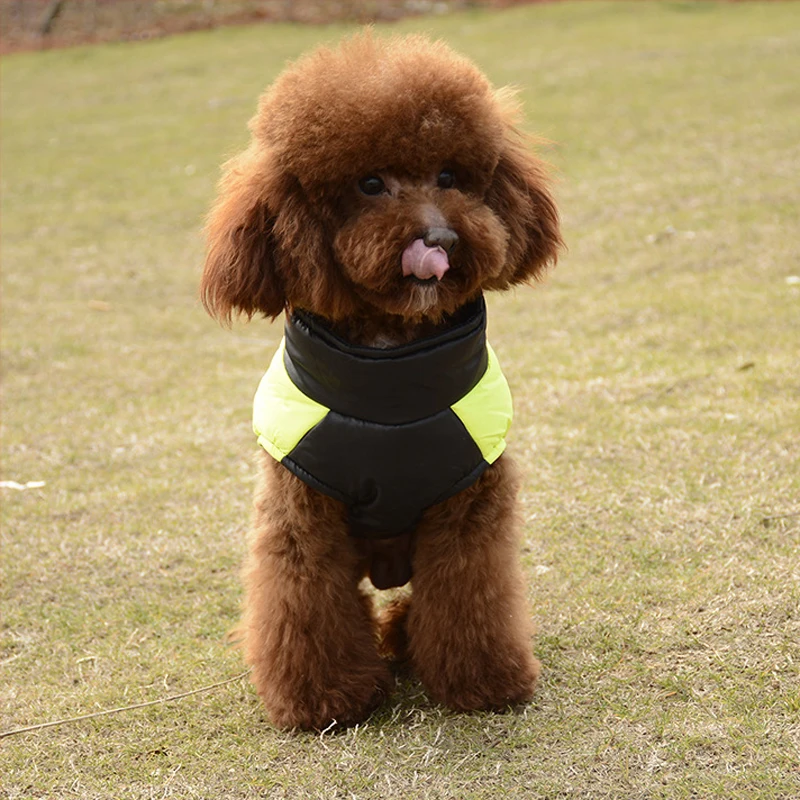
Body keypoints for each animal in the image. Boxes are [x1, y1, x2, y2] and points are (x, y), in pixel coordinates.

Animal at [201, 32, 562, 731]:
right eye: (370, 184)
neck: (391, 384)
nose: (441, 237)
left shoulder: (470, 509)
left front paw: (482, 682)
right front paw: (326, 699)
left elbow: (470, 595)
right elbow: (305, 601)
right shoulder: (302, 516)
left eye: (449, 176)